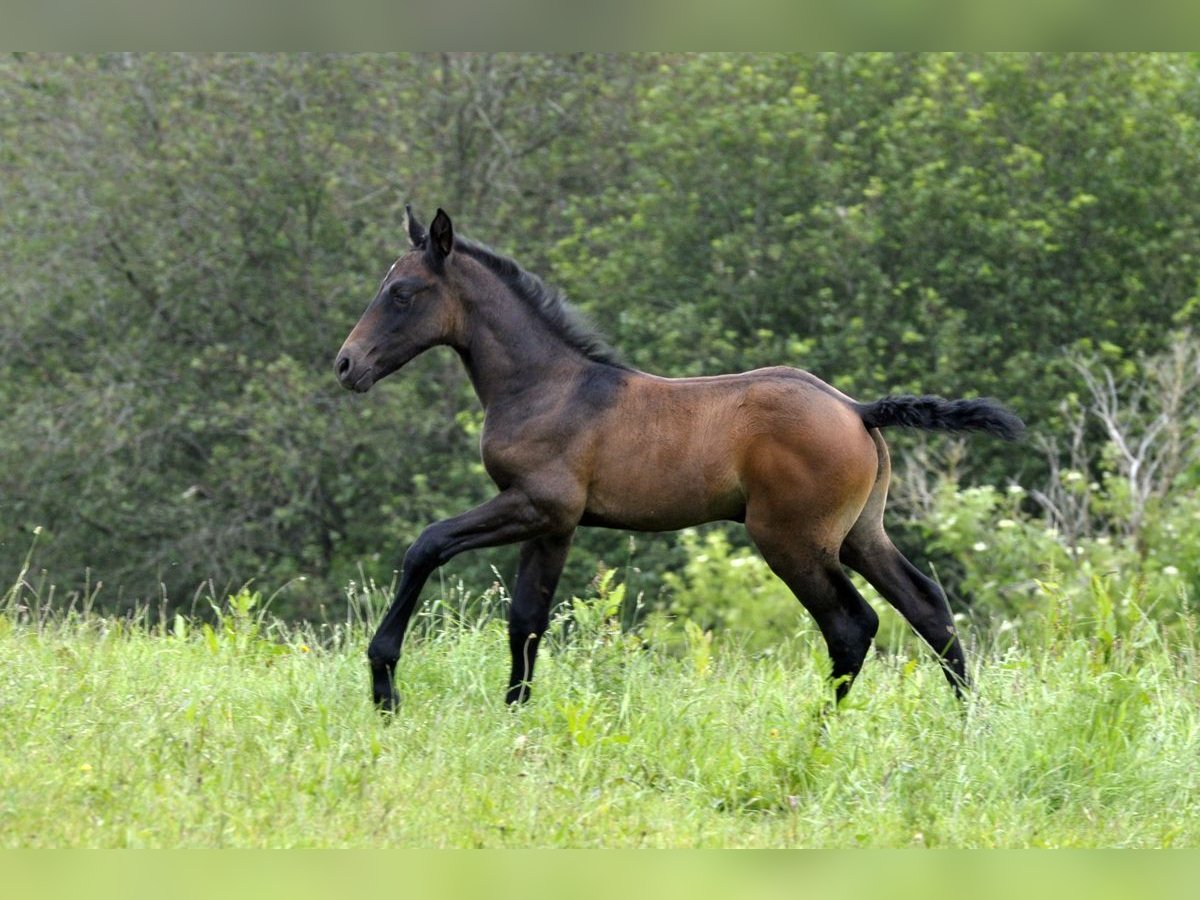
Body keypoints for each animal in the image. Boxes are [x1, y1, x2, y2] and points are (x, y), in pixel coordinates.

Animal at [336, 210, 1022, 710]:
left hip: (792, 539)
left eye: (402, 293)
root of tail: (856, 409)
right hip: (859, 532)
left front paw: (384, 682)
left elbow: (427, 544)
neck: (547, 386)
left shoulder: (535, 504)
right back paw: (966, 722)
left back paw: (819, 731)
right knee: (927, 605)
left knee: (852, 625)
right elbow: (526, 618)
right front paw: (515, 716)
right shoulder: (555, 524)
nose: (346, 365)